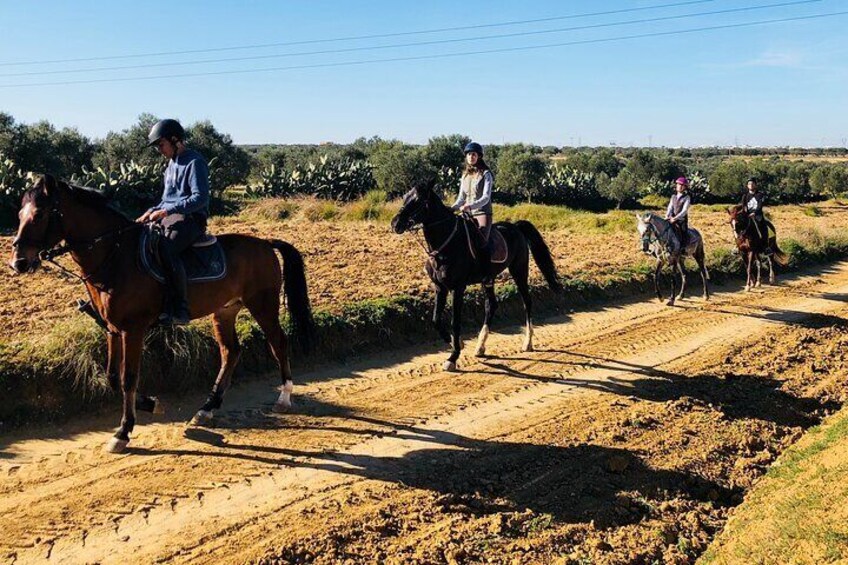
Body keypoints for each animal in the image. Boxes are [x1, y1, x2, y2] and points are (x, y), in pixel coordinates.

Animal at [8, 174, 314, 452]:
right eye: (20, 214)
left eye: (39, 214)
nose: (18, 262)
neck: (115, 256)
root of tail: (264, 243)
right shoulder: (112, 329)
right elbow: (111, 376)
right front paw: (150, 404)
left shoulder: (133, 329)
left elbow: (128, 378)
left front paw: (123, 431)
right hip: (225, 311)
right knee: (231, 351)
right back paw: (207, 408)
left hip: (263, 305)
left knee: (278, 342)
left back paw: (284, 398)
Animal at [392, 181, 564, 370]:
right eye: (405, 197)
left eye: (418, 201)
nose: (395, 223)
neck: (445, 246)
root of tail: (516, 227)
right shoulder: (440, 287)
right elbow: (436, 319)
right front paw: (455, 342)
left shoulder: (458, 288)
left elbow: (455, 322)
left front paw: (453, 357)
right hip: (488, 280)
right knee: (492, 305)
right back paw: (480, 346)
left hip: (519, 271)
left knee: (527, 302)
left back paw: (527, 343)